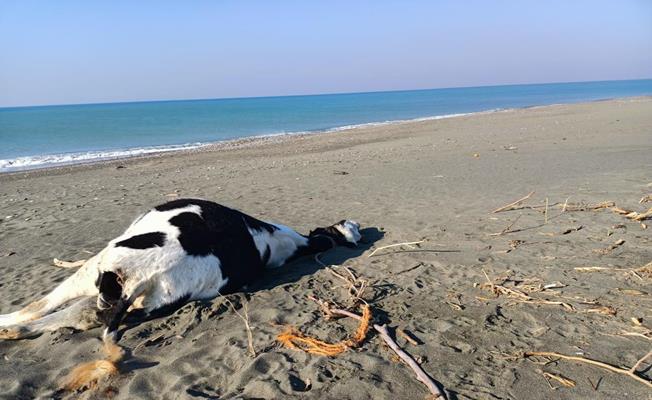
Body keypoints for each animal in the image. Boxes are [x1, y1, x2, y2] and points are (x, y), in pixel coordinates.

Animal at [0, 198, 362, 342]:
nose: (358, 226)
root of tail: (144, 276)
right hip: (127, 300)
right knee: (64, 315)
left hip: (98, 269)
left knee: (38, 309)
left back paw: (9, 326)